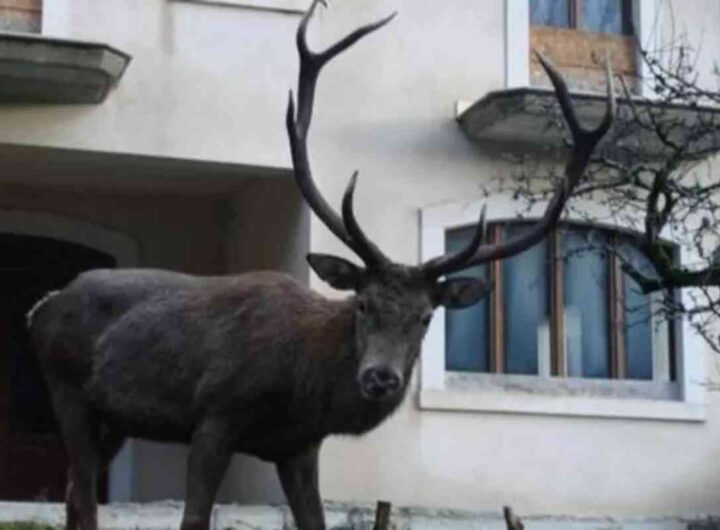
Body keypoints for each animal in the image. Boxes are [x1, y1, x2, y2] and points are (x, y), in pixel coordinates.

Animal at [27, 2, 614, 530]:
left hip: (113, 417)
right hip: (66, 389)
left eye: (427, 316)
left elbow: (314, 521)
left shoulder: (299, 445)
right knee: (83, 498)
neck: (301, 387)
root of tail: (40, 308)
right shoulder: (215, 414)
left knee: (75, 495)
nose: (381, 377)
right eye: (363, 303)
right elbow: (193, 518)